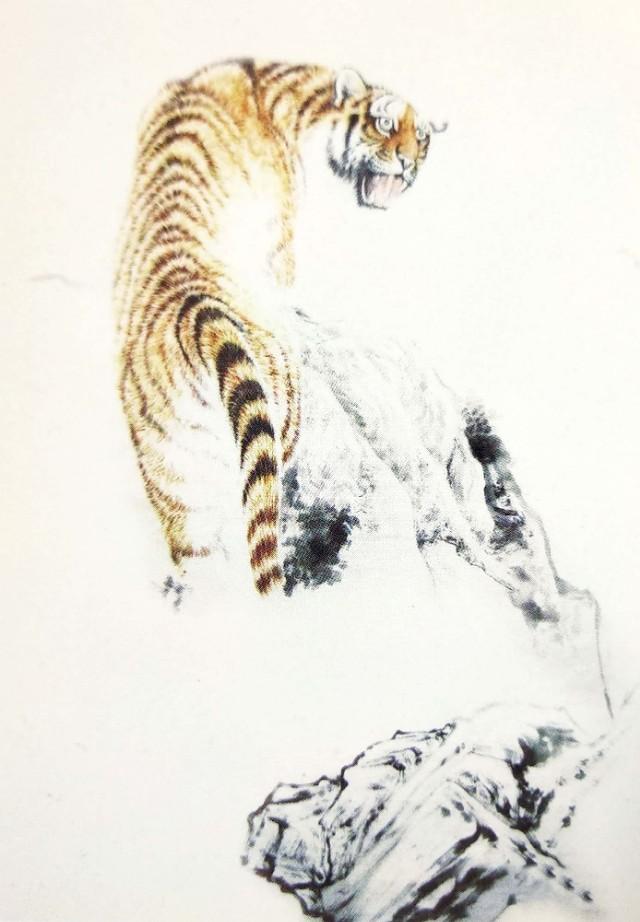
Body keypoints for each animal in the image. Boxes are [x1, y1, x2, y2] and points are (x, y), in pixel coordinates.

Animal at [115, 58, 433, 596]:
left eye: (424, 136)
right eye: (385, 122)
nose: (409, 164)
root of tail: (193, 308)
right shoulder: (280, 240)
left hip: (180, 489)